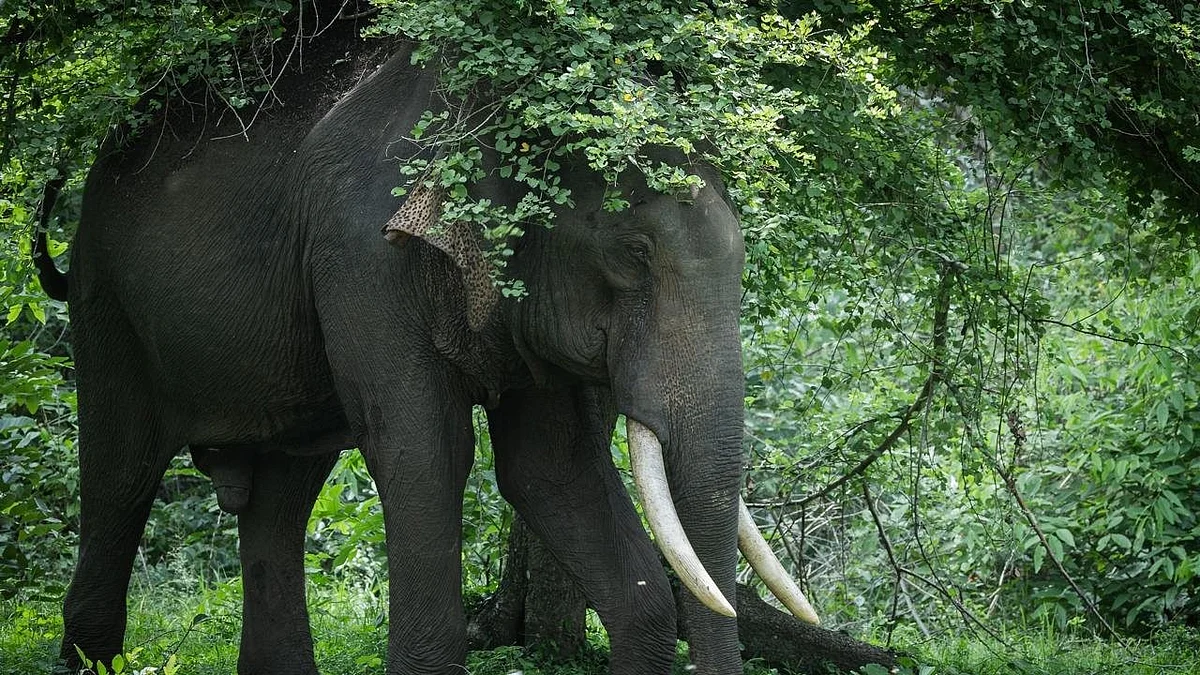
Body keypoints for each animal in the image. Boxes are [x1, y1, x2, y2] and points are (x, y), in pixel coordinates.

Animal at [34, 7, 817, 675]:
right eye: (635, 253)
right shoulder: (362, 256)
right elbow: (425, 452)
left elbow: (550, 472)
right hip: (106, 300)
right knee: (120, 472)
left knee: (282, 494)